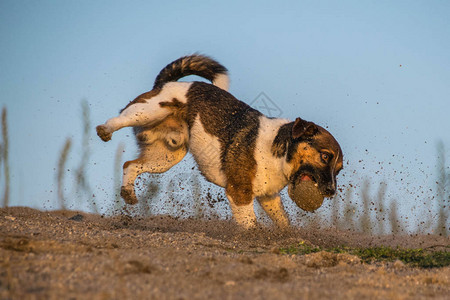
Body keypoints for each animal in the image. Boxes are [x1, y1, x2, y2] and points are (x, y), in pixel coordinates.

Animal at [96, 54, 342, 227]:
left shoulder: (268, 197)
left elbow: (283, 222)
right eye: (324, 156)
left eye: (339, 170)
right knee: (119, 118)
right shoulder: (239, 193)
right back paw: (104, 130)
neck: (276, 150)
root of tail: (165, 83)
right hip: (148, 111)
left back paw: (128, 193)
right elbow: (251, 225)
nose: (331, 191)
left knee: (130, 165)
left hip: (165, 157)